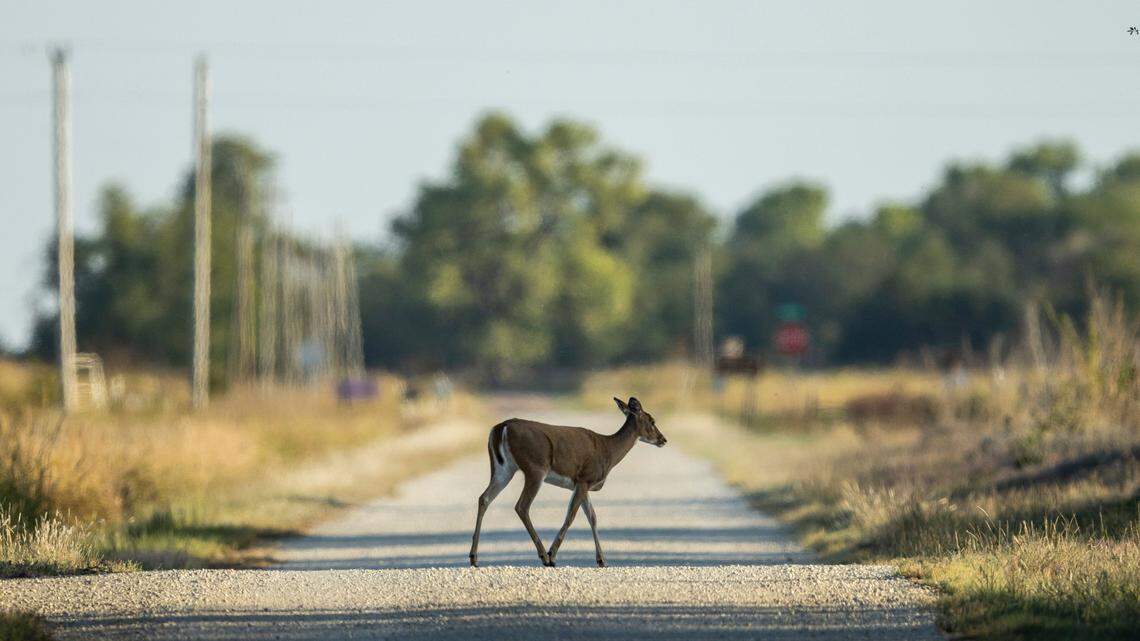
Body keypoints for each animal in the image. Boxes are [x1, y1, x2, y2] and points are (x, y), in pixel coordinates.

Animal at [469, 396, 667, 568]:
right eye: (652, 420)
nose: (663, 439)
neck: (608, 451)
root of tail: (502, 427)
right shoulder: (584, 478)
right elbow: (571, 516)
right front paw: (553, 555)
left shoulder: (582, 484)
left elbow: (592, 517)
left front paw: (602, 560)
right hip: (535, 467)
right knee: (521, 506)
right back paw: (544, 556)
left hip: (503, 468)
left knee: (484, 498)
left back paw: (474, 557)